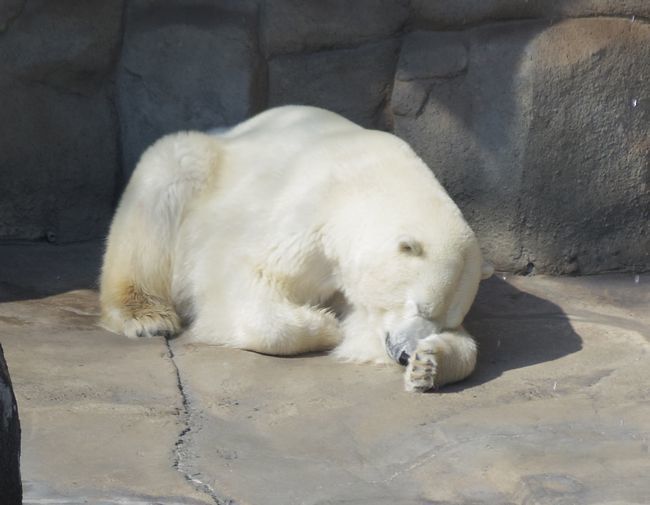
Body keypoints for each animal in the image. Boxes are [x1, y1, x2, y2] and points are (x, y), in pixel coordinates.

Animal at [98, 105, 488, 390]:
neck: (367, 188)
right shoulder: (303, 220)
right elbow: (240, 280)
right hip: (198, 166)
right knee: (165, 179)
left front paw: (429, 364)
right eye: (420, 306)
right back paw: (146, 316)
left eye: (448, 320)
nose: (406, 354)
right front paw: (326, 323)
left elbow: (369, 331)